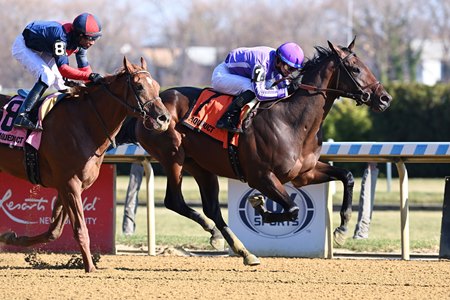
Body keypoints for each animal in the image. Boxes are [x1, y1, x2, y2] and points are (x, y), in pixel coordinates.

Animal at [0, 56, 171, 272]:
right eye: (139, 86)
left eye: (156, 86)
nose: (164, 119)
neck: (85, 123)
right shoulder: (70, 184)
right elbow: (80, 228)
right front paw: (90, 268)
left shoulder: (68, 186)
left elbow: (54, 231)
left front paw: (10, 237)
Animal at [133, 39, 390, 264]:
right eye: (355, 68)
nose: (385, 98)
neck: (291, 120)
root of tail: (152, 105)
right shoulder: (261, 176)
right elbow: (293, 209)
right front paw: (259, 205)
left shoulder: (303, 175)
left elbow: (347, 176)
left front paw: (342, 229)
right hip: (173, 157)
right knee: (174, 200)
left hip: (201, 166)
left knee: (212, 208)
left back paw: (239, 249)